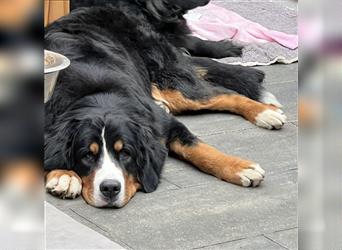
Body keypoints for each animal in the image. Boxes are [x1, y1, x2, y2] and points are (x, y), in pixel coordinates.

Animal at [44, 0, 286, 207]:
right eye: (87, 155)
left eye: (126, 153)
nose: (110, 188)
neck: (99, 95)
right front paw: (64, 175)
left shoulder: (165, 124)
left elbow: (201, 150)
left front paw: (241, 167)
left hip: (171, 81)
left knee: (224, 94)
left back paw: (265, 113)